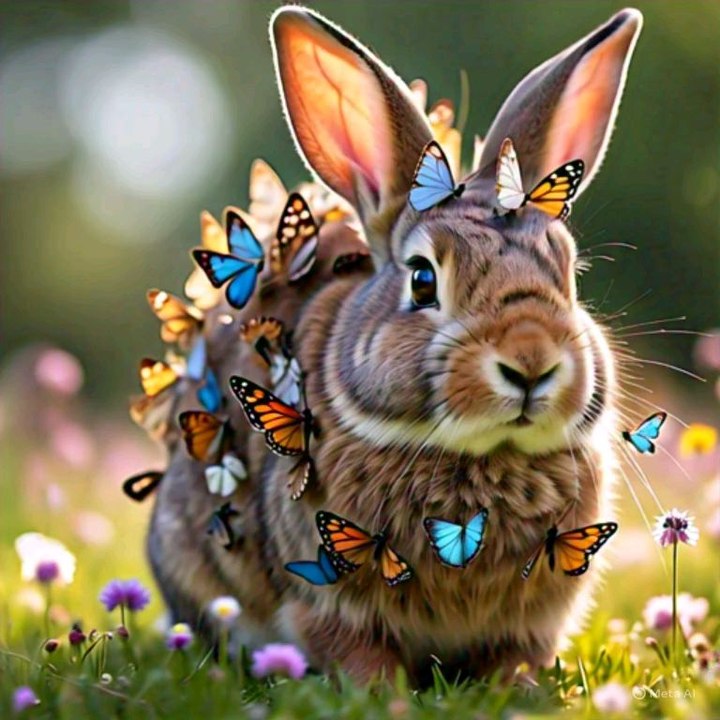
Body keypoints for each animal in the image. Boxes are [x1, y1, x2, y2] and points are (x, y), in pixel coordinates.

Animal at [146, 4, 643, 684]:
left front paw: (516, 690)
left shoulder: (534, 620)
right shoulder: (326, 601)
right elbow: (358, 656)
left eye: (568, 275)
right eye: (423, 279)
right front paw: (383, 694)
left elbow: (514, 659)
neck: (482, 457)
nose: (531, 361)